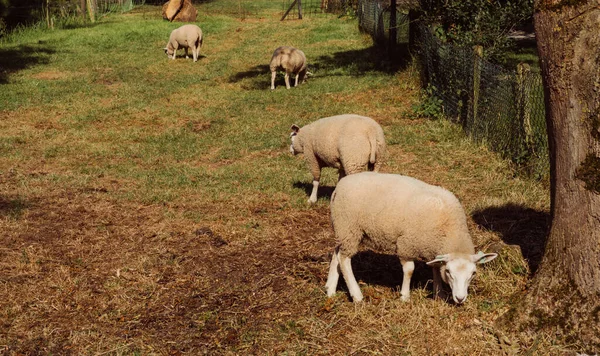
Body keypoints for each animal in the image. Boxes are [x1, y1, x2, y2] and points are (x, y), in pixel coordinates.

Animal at [326, 172, 500, 304]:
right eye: (449, 272)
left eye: (473, 273)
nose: (460, 298)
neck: (449, 229)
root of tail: (339, 186)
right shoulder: (406, 244)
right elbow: (409, 270)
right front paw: (405, 296)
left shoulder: (433, 249)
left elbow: (435, 269)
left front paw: (439, 293)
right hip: (349, 227)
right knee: (345, 259)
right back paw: (357, 295)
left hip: (343, 230)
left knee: (337, 253)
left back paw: (330, 288)